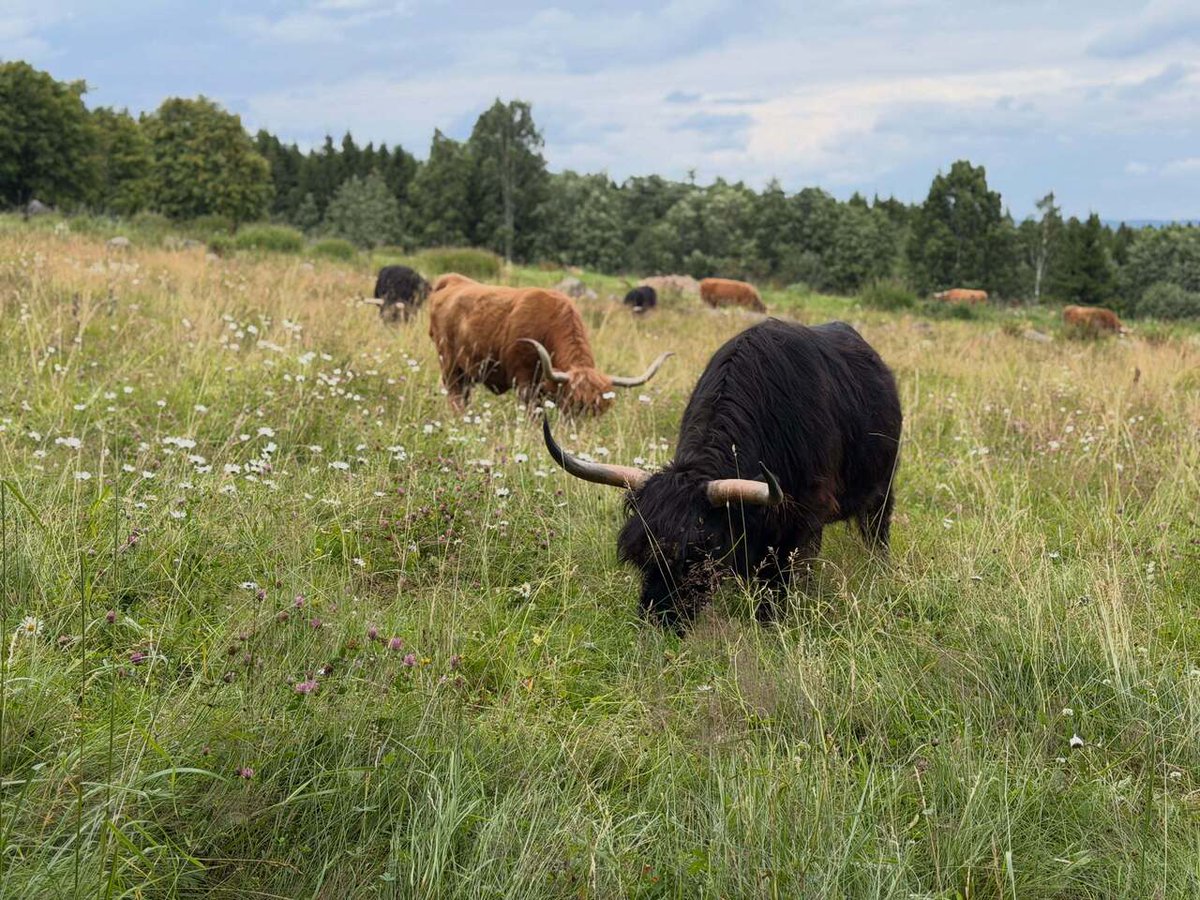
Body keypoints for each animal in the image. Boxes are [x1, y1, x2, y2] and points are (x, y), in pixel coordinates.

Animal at [427, 274, 672, 415]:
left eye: (599, 412)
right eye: (573, 406)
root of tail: (452, 280)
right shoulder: (525, 382)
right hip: (449, 363)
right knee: (455, 394)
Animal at [542, 318, 902, 631]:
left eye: (698, 558)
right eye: (638, 558)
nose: (658, 623)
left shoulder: (802, 520)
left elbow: (778, 585)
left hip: (883, 489)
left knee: (876, 530)